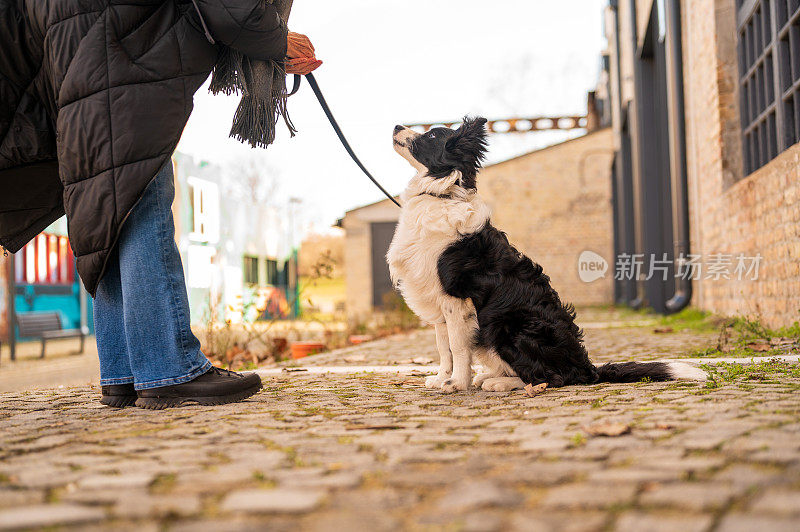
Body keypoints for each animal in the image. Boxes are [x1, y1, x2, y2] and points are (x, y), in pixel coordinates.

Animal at [388, 116, 708, 390]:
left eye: (431, 135)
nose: (396, 126)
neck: (440, 193)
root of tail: (587, 368)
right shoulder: (435, 295)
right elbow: (443, 347)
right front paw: (442, 378)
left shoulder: (455, 297)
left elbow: (457, 346)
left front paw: (456, 383)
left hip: (508, 326)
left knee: (552, 378)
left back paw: (499, 383)